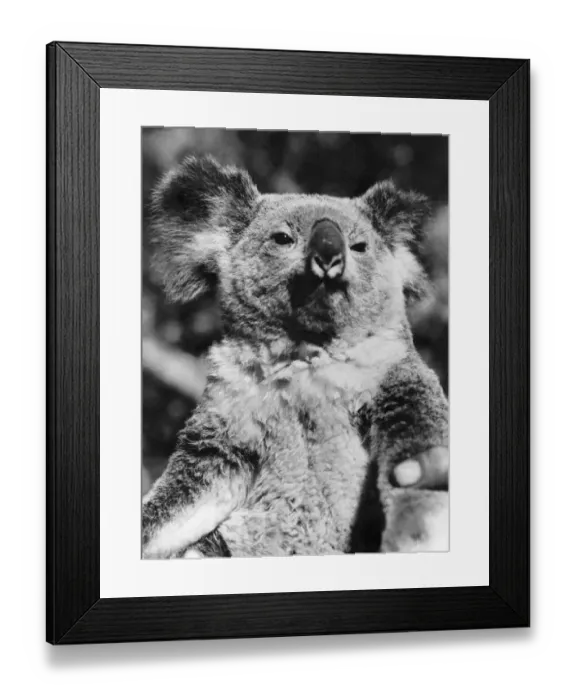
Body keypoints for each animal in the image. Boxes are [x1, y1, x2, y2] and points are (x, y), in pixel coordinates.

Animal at [142, 155, 449, 559]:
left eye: (360, 246)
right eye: (283, 239)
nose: (328, 257)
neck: (306, 356)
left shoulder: (393, 377)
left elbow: (414, 447)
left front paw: (415, 533)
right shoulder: (227, 425)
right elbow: (185, 493)